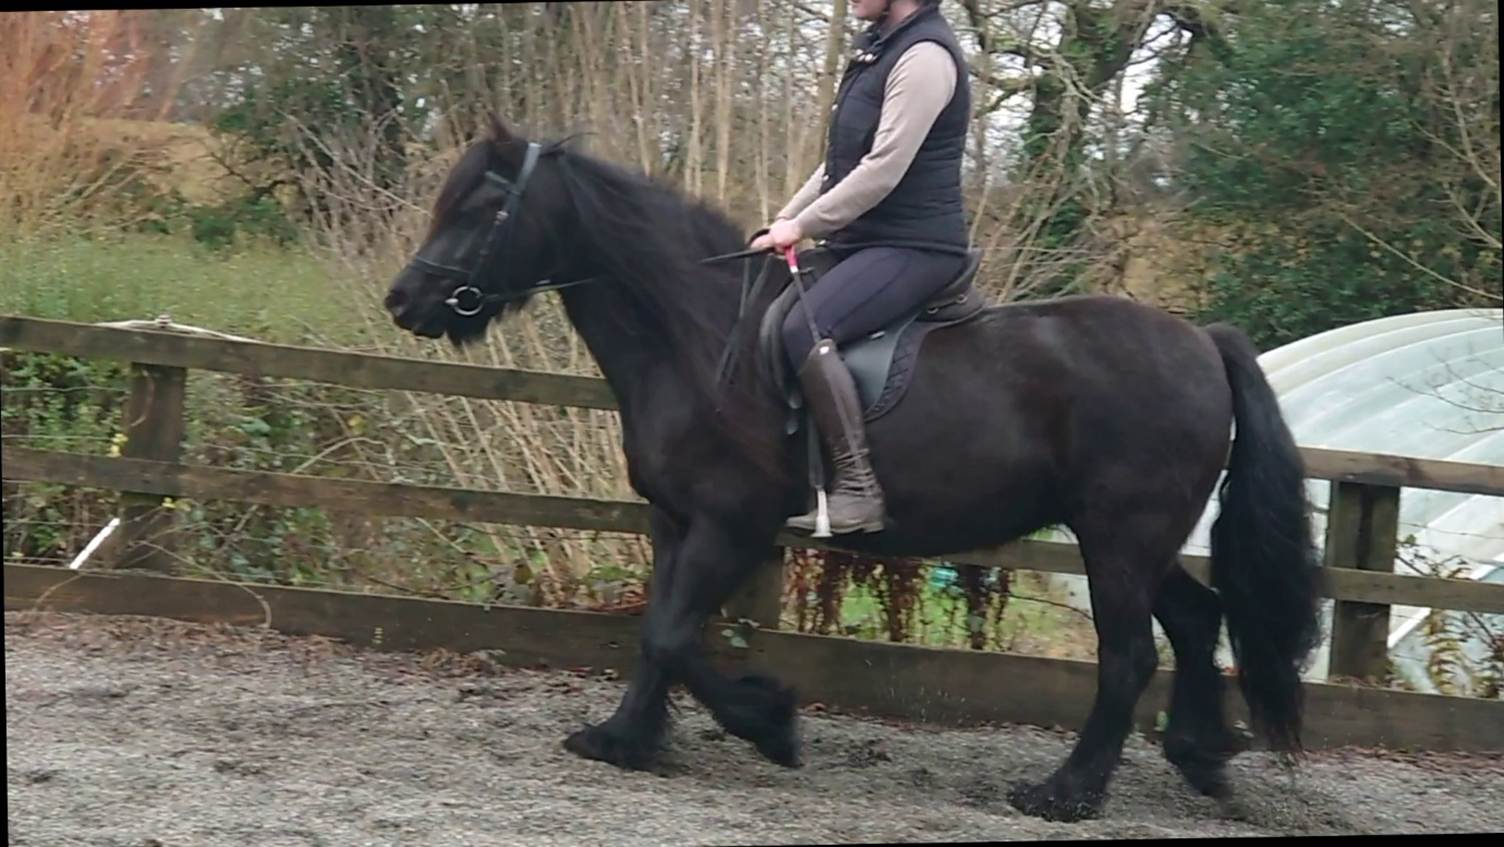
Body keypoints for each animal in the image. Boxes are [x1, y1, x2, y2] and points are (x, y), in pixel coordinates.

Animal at [383, 115, 1322, 822]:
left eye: (485, 207)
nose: (404, 300)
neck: (697, 335)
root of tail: (1201, 341)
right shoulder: (674, 521)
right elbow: (657, 633)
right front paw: (625, 738)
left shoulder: (731, 525)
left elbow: (674, 634)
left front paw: (769, 722)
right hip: (1132, 539)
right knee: (1198, 620)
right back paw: (1201, 754)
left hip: (1119, 540)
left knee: (1129, 655)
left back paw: (1066, 791)